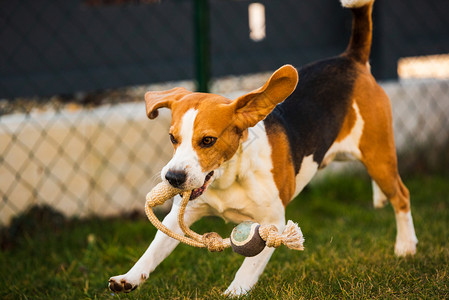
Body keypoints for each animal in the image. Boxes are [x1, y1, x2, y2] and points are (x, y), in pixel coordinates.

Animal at [107, 0, 416, 296]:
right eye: (173, 138)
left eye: (207, 140)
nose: (172, 178)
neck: (228, 178)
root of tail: (350, 59)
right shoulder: (180, 215)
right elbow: (154, 249)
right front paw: (129, 278)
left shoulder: (273, 221)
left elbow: (249, 266)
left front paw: (234, 292)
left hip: (378, 156)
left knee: (401, 195)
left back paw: (406, 246)